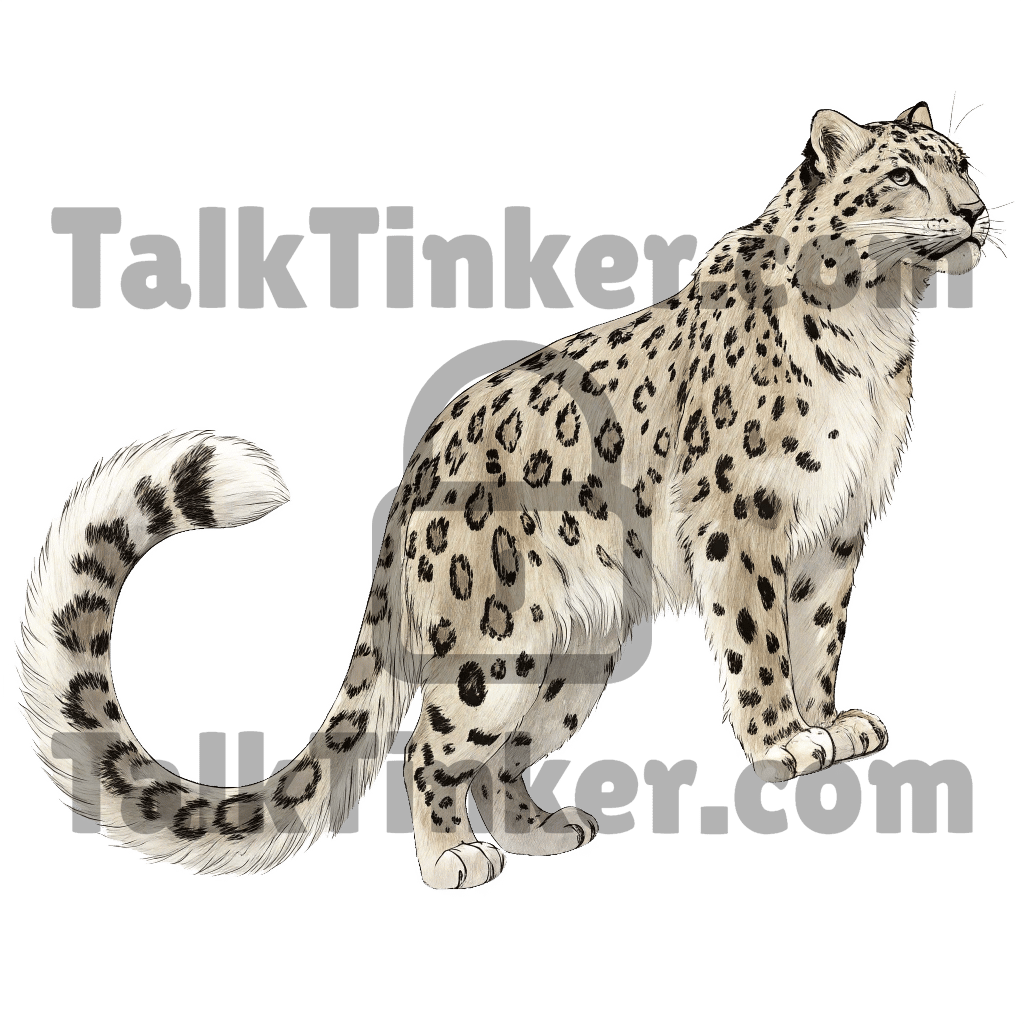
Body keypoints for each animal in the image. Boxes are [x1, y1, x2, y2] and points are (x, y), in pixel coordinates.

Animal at [18, 100, 997, 889]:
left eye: (963, 162)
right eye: (905, 175)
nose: (977, 212)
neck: (876, 330)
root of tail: (414, 478)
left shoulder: (838, 529)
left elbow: (818, 632)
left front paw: (833, 724)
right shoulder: (746, 515)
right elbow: (759, 640)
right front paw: (786, 743)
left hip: (577, 650)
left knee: (503, 753)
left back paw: (545, 831)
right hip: (492, 642)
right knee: (429, 746)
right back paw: (455, 858)